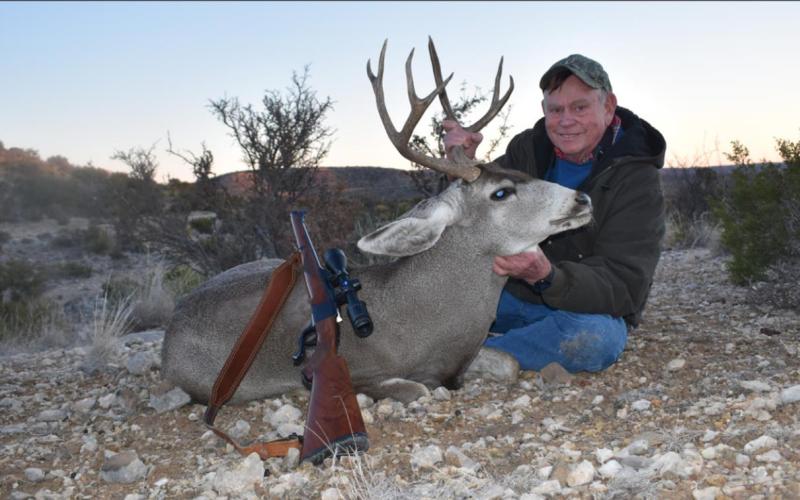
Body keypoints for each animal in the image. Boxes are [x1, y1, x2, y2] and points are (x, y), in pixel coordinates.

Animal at [161, 39, 593, 404]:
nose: (582, 198)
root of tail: (169, 333)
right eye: (501, 193)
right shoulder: (363, 372)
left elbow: (511, 361)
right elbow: (415, 388)